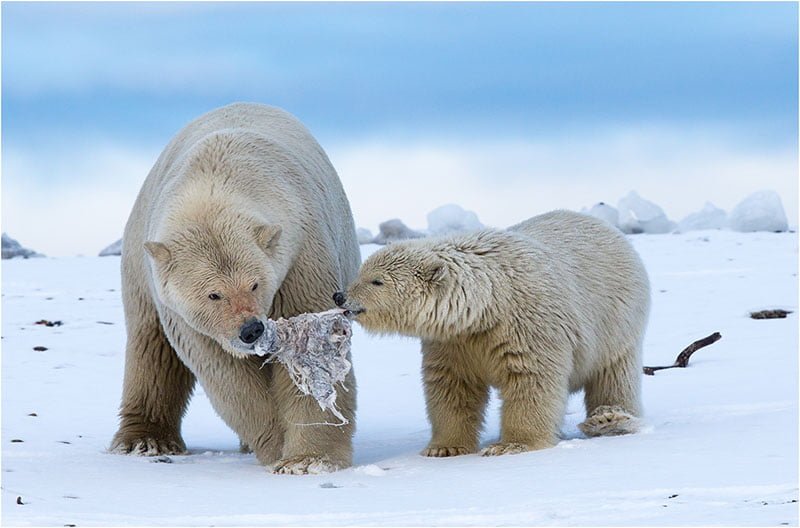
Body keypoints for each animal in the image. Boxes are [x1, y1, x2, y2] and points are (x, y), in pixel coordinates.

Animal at [110, 103, 360, 474]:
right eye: (213, 294)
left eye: (255, 284)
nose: (251, 330)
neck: (215, 180)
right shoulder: (187, 317)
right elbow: (228, 376)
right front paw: (276, 443)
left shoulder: (300, 259)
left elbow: (311, 350)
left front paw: (306, 460)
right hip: (140, 272)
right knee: (151, 348)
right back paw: (144, 440)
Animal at [335, 210, 650, 456]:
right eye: (361, 272)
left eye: (376, 281)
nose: (340, 296)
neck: (488, 303)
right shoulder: (453, 340)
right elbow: (451, 385)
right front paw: (444, 447)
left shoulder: (528, 324)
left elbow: (531, 380)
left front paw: (512, 444)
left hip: (616, 321)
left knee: (614, 375)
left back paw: (610, 419)